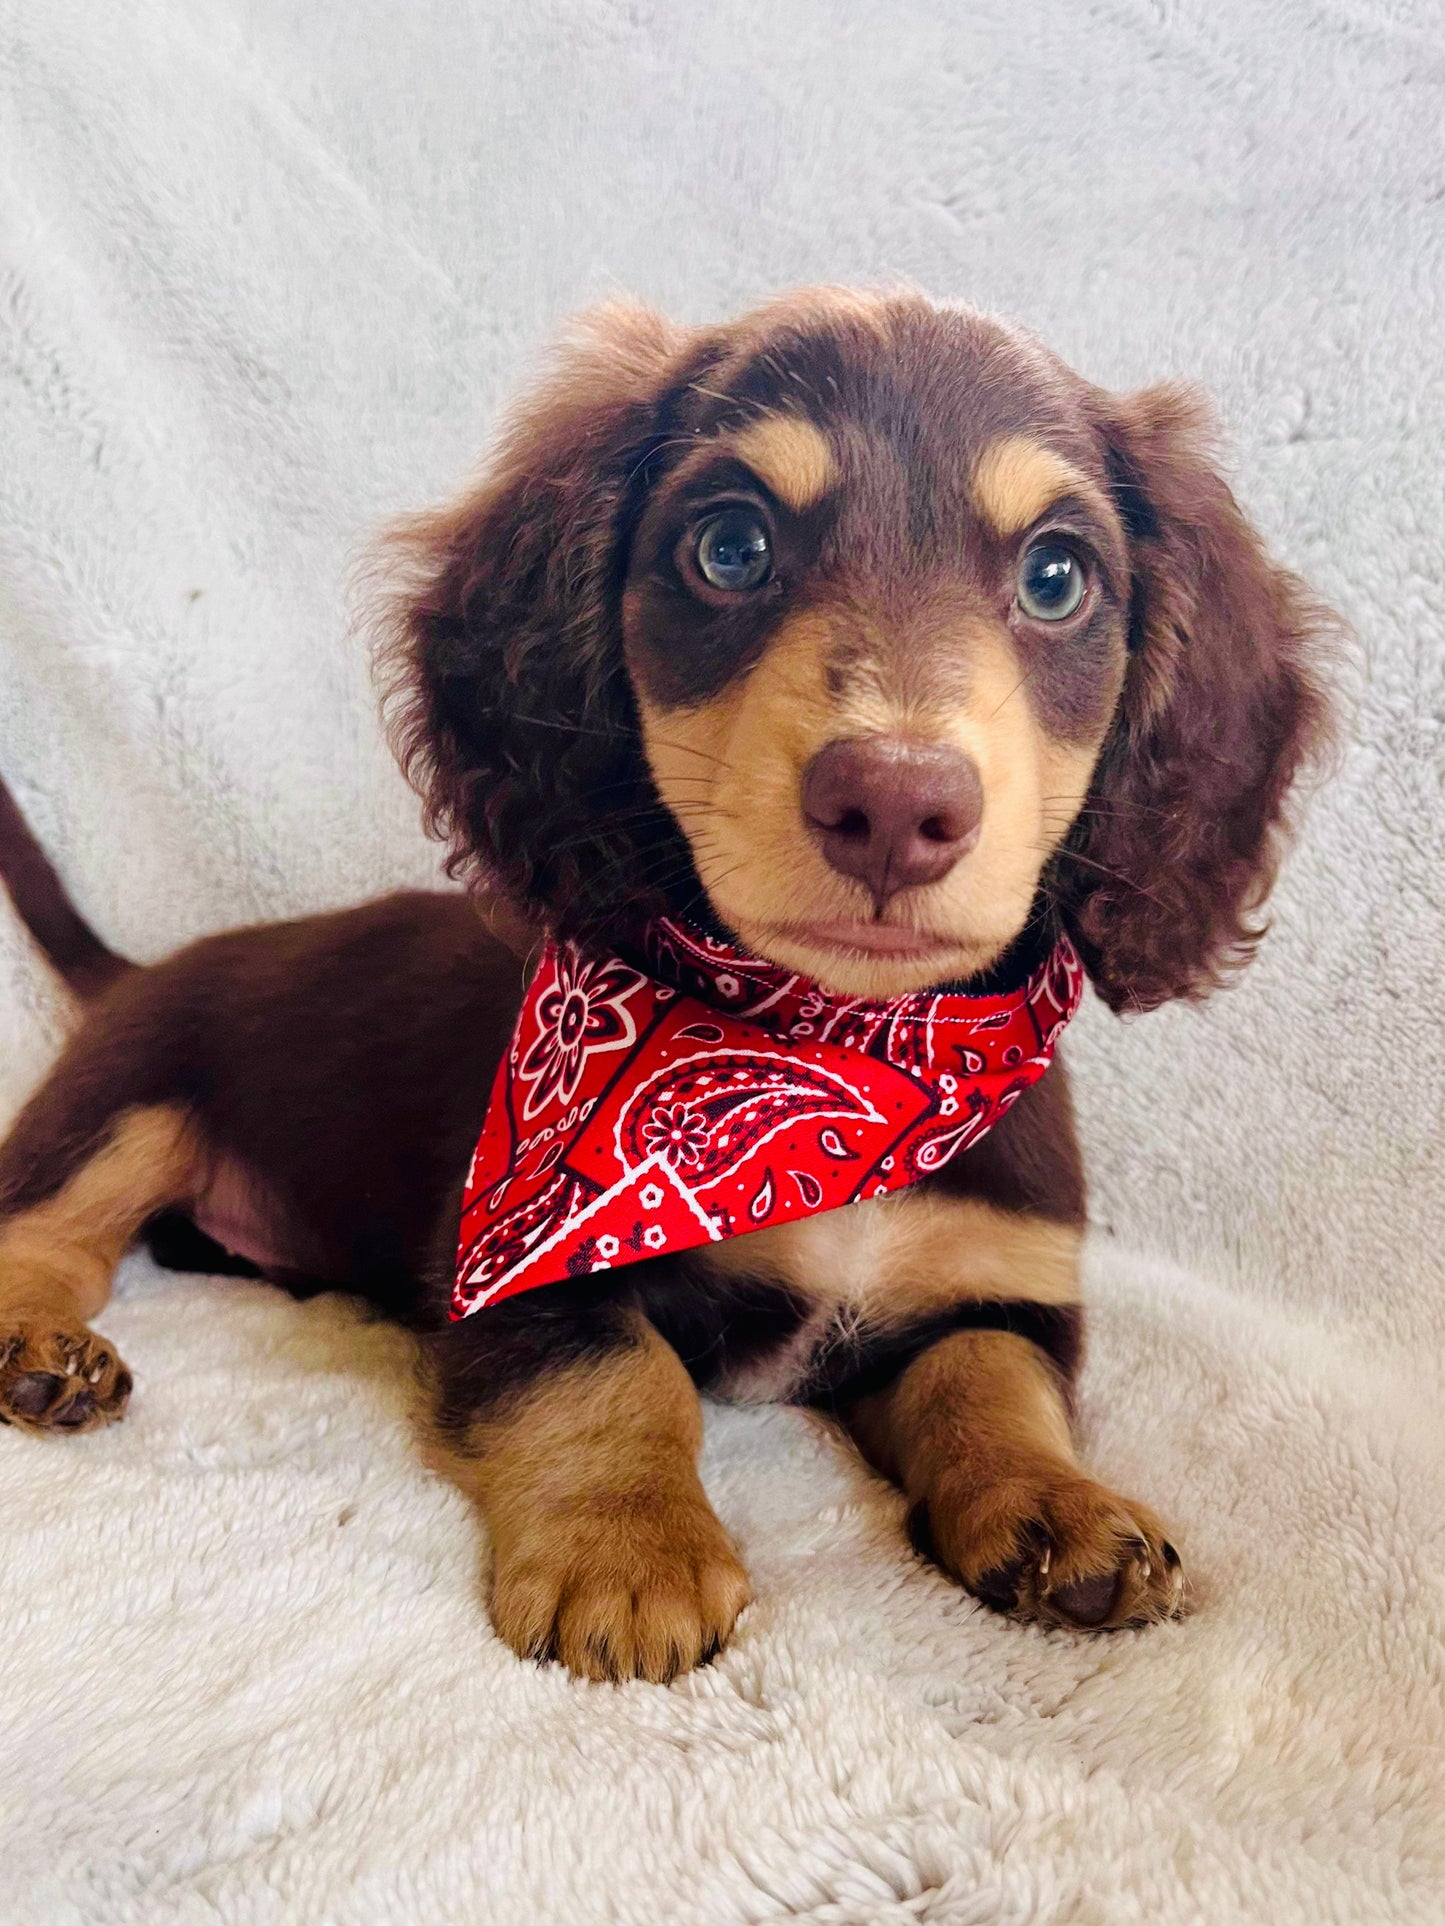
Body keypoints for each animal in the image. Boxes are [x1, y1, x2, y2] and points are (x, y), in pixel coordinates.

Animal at [0, 288, 1333, 1687]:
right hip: (127, 1098)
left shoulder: (998, 1284)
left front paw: (1062, 1507)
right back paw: (42, 1347)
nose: (893, 803)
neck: (844, 1046)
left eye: (1057, 576)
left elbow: (991, 1381)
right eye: (730, 548)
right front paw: (625, 1549)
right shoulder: (514, 1269)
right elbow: (613, 1372)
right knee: (46, 1229)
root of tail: (143, 965)